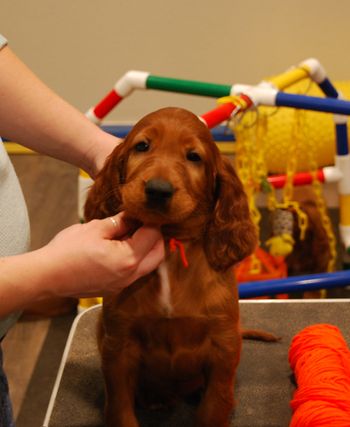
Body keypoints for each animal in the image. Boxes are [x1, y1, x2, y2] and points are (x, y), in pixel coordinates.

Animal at [85, 108, 258, 427]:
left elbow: (214, 405)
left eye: (194, 156)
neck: (168, 242)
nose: (158, 190)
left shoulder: (224, 344)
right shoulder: (118, 344)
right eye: (142, 146)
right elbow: (120, 408)